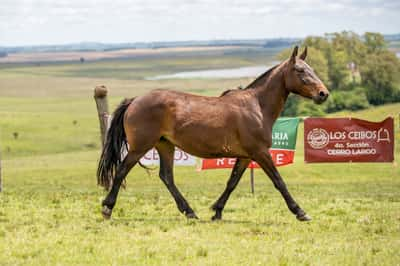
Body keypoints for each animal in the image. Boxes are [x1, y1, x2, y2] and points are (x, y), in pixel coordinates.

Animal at [97, 46, 328, 221]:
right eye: (299, 70)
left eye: (310, 69)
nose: (323, 94)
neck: (257, 106)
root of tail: (135, 101)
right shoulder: (260, 153)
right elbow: (279, 181)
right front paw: (300, 212)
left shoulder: (246, 156)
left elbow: (232, 182)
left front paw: (217, 211)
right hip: (141, 146)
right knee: (122, 170)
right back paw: (107, 208)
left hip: (165, 145)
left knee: (166, 177)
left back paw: (190, 212)